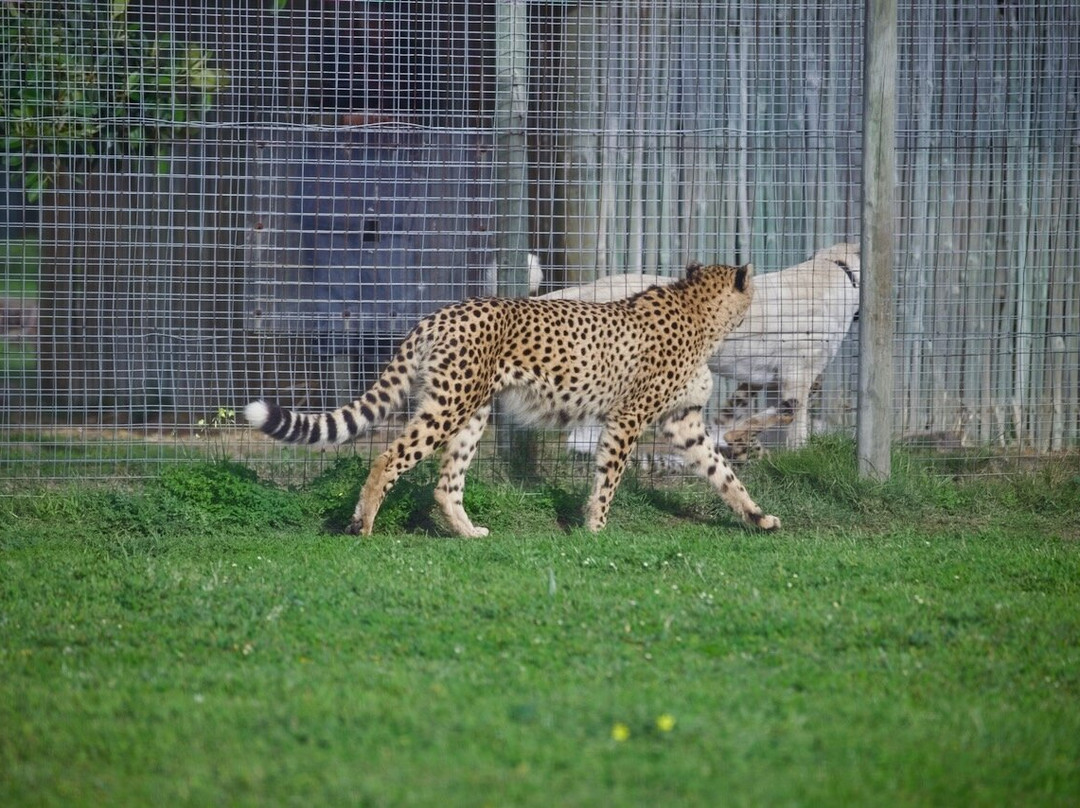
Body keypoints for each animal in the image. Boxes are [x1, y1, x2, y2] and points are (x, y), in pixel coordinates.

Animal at [244, 261, 780, 538]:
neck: (700, 314)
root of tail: (440, 312)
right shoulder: (627, 418)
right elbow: (608, 478)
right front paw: (596, 528)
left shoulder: (683, 422)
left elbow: (724, 475)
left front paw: (759, 517)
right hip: (449, 406)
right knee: (388, 456)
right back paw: (364, 525)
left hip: (471, 412)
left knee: (446, 483)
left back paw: (467, 533)